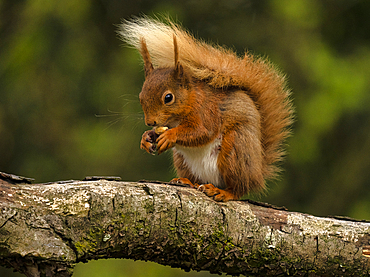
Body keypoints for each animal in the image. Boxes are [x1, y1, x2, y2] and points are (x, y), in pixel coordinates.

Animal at [118, 17, 292, 202]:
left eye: (168, 97)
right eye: (140, 96)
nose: (150, 122)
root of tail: (257, 174)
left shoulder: (207, 111)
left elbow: (202, 132)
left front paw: (170, 135)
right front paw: (146, 137)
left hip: (235, 149)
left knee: (238, 188)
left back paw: (223, 192)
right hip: (183, 161)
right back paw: (186, 181)